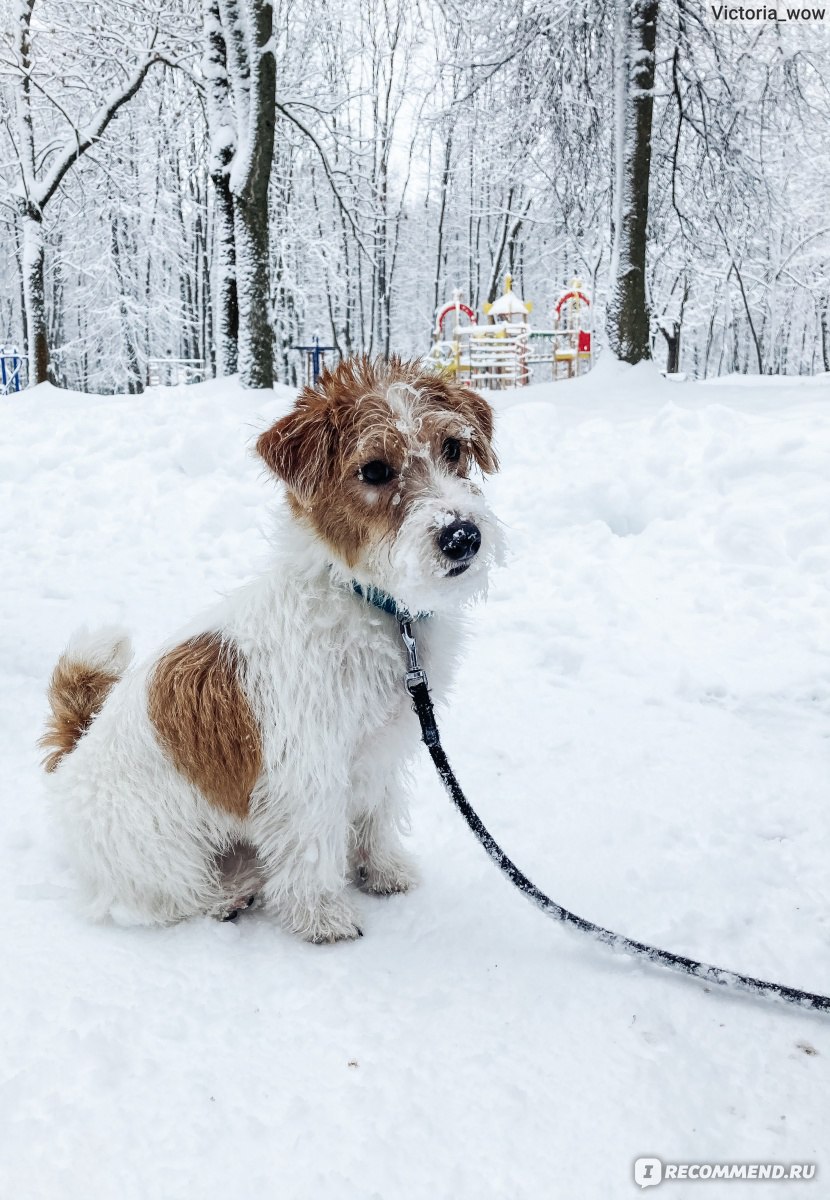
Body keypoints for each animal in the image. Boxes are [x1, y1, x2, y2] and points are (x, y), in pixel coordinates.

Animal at [40, 355, 498, 936]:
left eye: (453, 448)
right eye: (374, 470)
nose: (462, 536)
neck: (368, 602)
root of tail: (73, 756)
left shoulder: (376, 753)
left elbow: (374, 817)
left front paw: (382, 870)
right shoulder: (308, 771)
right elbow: (312, 847)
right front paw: (321, 914)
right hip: (158, 850)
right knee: (156, 900)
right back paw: (228, 896)